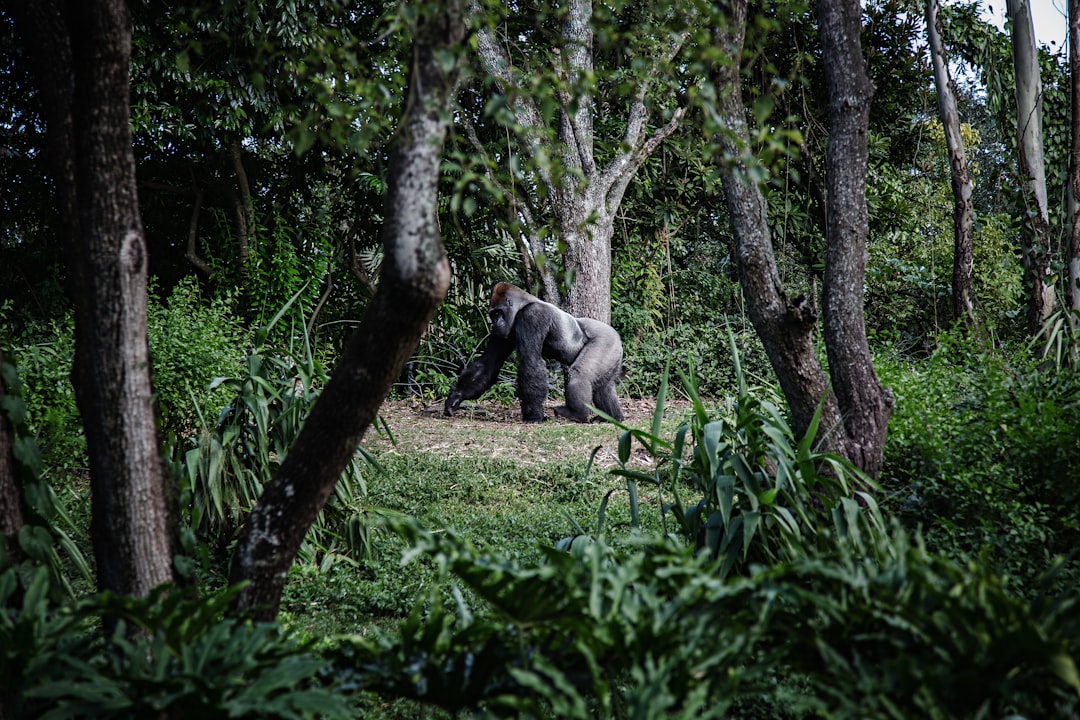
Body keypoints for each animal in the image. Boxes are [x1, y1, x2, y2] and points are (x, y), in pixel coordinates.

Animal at [444, 280, 626, 423]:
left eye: (499, 312)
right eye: (492, 314)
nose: (495, 323)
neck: (523, 304)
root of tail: (617, 336)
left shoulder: (532, 316)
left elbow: (530, 361)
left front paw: (533, 416)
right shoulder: (502, 333)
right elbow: (488, 363)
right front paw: (456, 397)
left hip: (605, 340)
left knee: (581, 374)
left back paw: (577, 414)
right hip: (612, 351)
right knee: (603, 386)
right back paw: (612, 417)